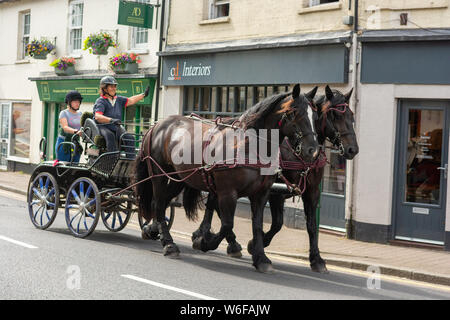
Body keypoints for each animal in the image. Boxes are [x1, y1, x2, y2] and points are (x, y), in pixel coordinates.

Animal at [135, 84, 318, 272]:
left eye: (315, 115)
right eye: (294, 113)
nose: (313, 150)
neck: (248, 145)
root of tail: (157, 125)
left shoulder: (261, 194)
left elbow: (257, 225)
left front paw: (261, 258)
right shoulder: (228, 192)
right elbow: (227, 223)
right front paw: (203, 242)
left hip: (178, 179)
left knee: (161, 204)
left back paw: (154, 232)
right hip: (160, 176)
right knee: (158, 205)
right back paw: (169, 244)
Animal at [191, 86, 358, 274]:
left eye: (351, 115)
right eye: (335, 115)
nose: (353, 149)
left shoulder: (312, 191)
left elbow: (311, 225)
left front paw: (316, 259)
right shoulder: (276, 193)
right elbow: (277, 223)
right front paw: (256, 245)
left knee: (215, 204)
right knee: (214, 205)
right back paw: (210, 237)